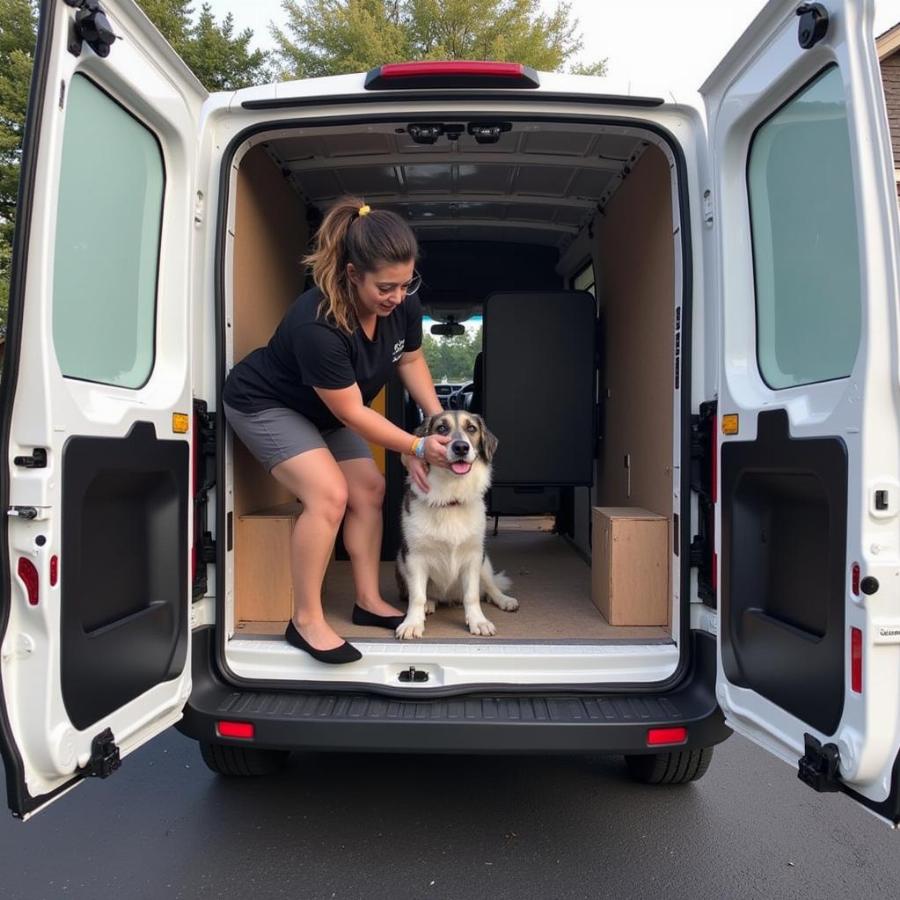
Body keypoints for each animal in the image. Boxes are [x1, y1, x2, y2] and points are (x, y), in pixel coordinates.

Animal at [396, 410, 516, 640]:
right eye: (442, 428)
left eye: (471, 428)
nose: (461, 447)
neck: (451, 498)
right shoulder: (414, 558)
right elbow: (417, 597)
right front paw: (413, 623)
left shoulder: (473, 557)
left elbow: (472, 596)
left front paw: (478, 621)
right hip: (400, 559)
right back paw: (430, 604)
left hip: (485, 563)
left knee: (490, 587)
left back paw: (504, 600)